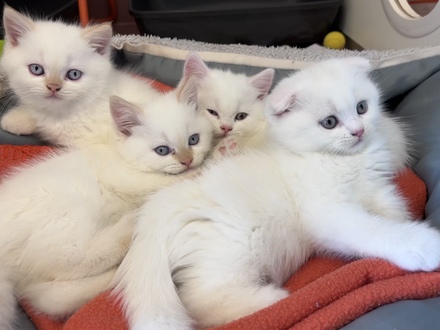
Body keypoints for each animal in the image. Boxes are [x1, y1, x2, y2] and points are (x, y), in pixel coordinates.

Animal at [0, 75, 213, 330]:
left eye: (194, 139)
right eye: (162, 150)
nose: (187, 160)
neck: (124, 157)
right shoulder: (127, 177)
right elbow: (162, 181)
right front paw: (208, 163)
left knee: (49, 298)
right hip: (68, 212)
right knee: (72, 261)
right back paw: (127, 229)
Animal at [111, 57, 440, 330]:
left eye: (362, 107)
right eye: (329, 122)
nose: (358, 131)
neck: (346, 161)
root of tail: (157, 212)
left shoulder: (378, 188)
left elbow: (392, 212)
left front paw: (403, 223)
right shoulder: (326, 210)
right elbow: (370, 228)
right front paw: (421, 244)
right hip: (232, 248)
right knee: (203, 301)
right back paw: (270, 299)